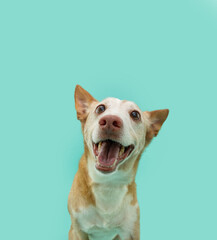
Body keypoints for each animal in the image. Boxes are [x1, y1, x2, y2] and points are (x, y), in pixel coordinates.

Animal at [68, 85, 170, 239]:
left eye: (135, 114)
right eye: (100, 108)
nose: (110, 121)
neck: (107, 183)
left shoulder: (131, 230)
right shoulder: (77, 230)